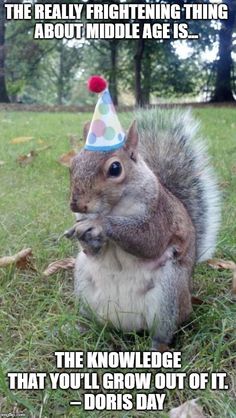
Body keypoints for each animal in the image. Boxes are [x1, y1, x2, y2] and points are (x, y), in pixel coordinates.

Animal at [69, 108, 220, 350]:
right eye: (72, 164)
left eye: (115, 168)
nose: (76, 205)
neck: (113, 207)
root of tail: (125, 324)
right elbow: (91, 250)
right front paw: (85, 235)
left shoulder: (160, 217)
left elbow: (148, 240)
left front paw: (99, 224)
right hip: (84, 283)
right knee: (94, 322)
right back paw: (80, 328)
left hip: (169, 293)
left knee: (163, 332)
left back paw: (157, 347)